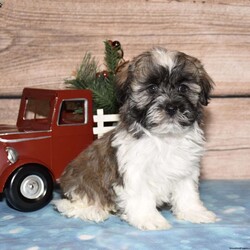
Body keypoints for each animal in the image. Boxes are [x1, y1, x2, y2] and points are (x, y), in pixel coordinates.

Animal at [54, 47, 217, 230]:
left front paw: (194, 212)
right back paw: (93, 210)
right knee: (68, 204)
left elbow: (187, 192)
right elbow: (141, 196)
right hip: (80, 183)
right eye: (152, 88)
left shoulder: (185, 168)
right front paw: (149, 219)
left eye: (183, 88)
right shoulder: (134, 170)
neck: (165, 138)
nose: (171, 107)